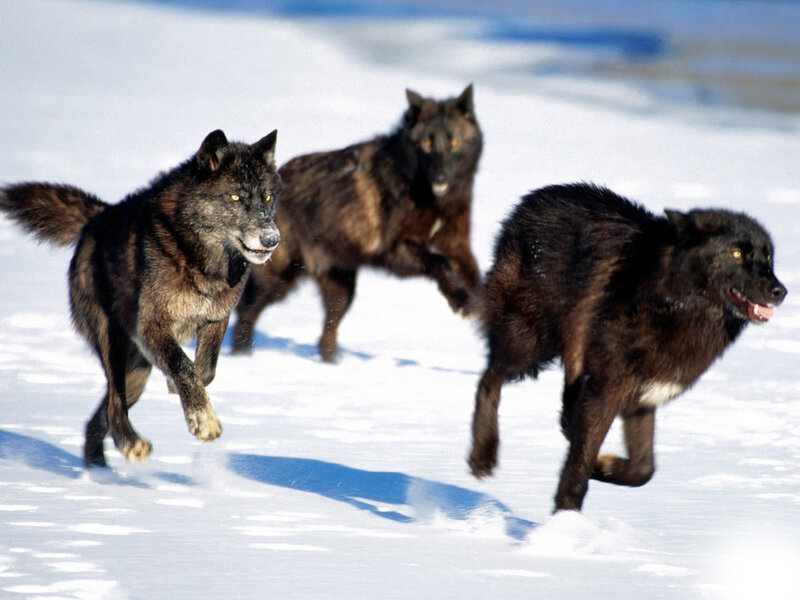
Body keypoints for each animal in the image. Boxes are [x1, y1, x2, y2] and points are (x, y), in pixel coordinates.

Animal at [0, 129, 281, 467]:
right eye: (236, 197)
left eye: (267, 197)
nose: (272, 239)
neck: (200, 257)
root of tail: (98, 216)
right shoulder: (152, 326)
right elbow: (185, 366)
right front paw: (203, 420)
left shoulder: (216, 319)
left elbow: (204, 370)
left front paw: (182, 393)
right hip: (113, 342)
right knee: (113, 402)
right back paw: (130, 444)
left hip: (138, 370)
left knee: (99, 417)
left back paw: (98, 471)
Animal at [232, 85, 482, 362]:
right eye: (427, 143)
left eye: (454, 143)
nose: (440, 178)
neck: (429, 197)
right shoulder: (396, 252)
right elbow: (439, 263)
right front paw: (461, 301)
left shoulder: (457, 244)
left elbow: (474, 275)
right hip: (278, 280)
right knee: (246, 311)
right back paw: (242, 356)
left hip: (342, 288)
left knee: (327, 332)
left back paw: (333, 364)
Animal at [468, 183, 787, 511]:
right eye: (736, 254)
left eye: (768, 258)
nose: (781, 291)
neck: (672, 302)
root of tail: (528, 201)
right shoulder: (606, 391)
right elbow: (579, 468)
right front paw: (566, 516)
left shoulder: (643, 399)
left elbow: (642, 469)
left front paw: (603, 466)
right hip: (529, 346)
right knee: (489, 379)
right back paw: (483, 456)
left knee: (563, 415)